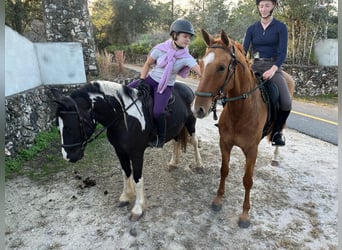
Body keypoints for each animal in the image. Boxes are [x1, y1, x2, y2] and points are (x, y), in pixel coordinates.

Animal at [50, 80, 203, 221]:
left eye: (70, 127)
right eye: (58, 127)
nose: (68, 156)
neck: (124, 119)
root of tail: (187, 88)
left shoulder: (136, 153)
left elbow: (137, 178)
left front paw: (138, 208)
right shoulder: (119, 151)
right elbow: (126, 172)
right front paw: (125, 196)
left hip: (190, 123)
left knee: (194, 142)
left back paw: (199, 165)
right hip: (177, 127)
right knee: (176, 142)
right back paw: (173, 163)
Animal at [194, 29, 296, 229]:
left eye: (221, 67)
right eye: (201, 63)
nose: (198, 109)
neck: (241, 111)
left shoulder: (252, 150)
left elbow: (248, 180)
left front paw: (244, 215)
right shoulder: (225, 144)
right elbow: (224, 170)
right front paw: (218, 200)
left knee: (280, 133)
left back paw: (275, 157)